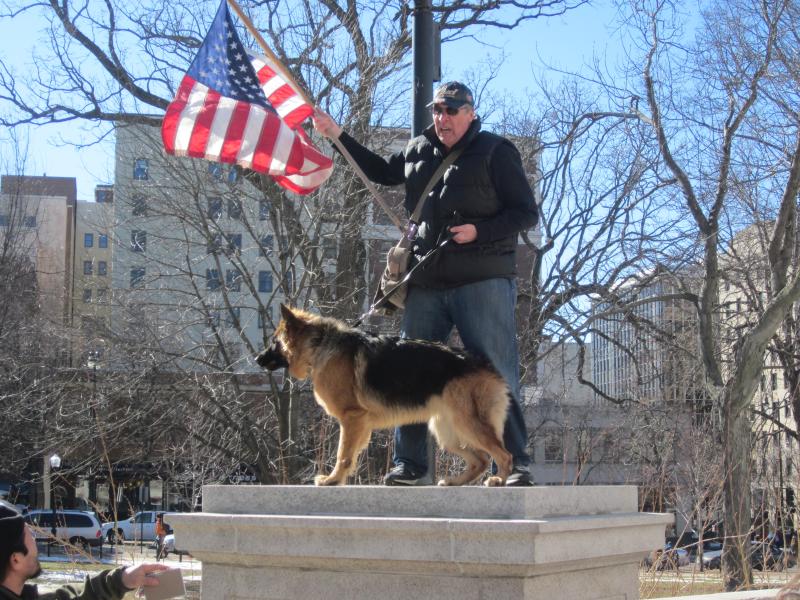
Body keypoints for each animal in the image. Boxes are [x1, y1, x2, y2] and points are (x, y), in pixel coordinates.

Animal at [256, 304, 512, 488]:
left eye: (274, 342)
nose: (257, 359)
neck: (318, 344)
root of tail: (486, 366)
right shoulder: (358, 424)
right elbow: (350, 454)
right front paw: (338, 478)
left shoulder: (352, 418)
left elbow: (343, 454)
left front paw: (333, 480)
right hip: (446, 432)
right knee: (481, 459)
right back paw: (455, 482)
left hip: (467, 423)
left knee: (503, 455)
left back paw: (500, 480)